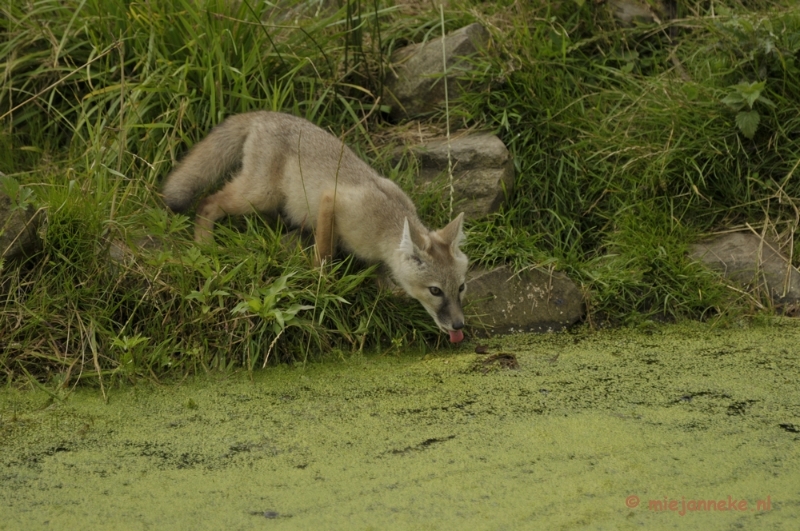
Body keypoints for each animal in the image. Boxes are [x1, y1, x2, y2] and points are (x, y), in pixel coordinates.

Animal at [162, 112, 468, 344]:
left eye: (461, 288)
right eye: (435, 291)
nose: (459, 325)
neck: (385, 224)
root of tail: (264, 114)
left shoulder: (377, 257)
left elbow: (384, 283)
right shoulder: (331, 201)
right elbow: (324, 254)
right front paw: (321, 283)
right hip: (257, 196)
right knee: (207, 203)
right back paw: (204, 246)